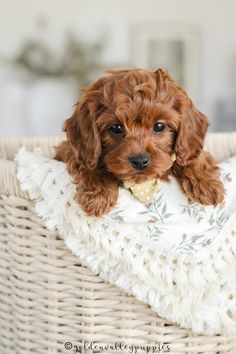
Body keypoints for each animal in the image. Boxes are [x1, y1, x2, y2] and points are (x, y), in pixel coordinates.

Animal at [55, 66, 225, 216]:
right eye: (116, 127)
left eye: (159, 126)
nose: (140, 161)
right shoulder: (69, 150)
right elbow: (90, 162)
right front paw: (98, 194)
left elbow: (191, 157)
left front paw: (207, 185)